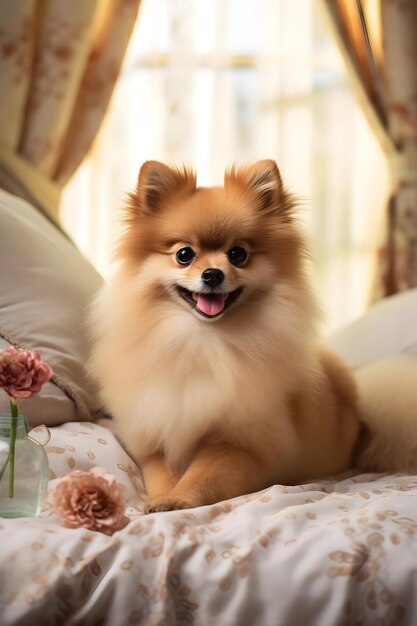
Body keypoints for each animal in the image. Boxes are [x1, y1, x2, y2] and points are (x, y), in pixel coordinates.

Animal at [88, 157, 364, 512]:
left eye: (238, 254)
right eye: (184, 255)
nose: (212, 274)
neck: (202, 342)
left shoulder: (241, 442)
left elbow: (204, 475)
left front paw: (177, 500)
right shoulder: (156, 432)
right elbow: (160, 471)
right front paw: (161, 497)